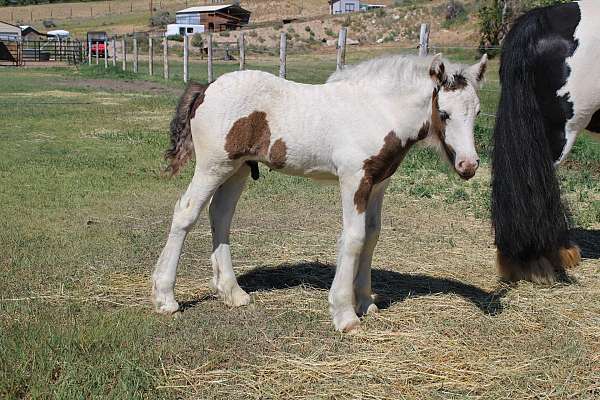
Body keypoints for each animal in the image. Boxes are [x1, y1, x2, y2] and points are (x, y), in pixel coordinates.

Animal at [151, 54, 488, 332]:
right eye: (444, 113)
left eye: (478, 111)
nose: (469, 165)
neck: (377, 110)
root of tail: (206, 87)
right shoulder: (354, 179)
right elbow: (354, 238)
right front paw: (345, 314)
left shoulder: (378, 183)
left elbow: (372, 235)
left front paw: (366, 302)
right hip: (213, 165)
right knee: (186, 212)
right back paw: (166, 297)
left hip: (238, 168)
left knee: (220, 215)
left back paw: (232, 292)